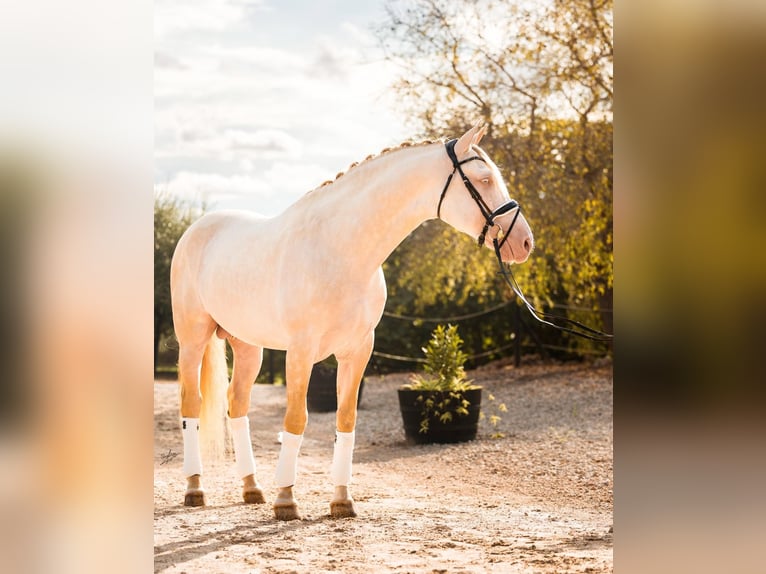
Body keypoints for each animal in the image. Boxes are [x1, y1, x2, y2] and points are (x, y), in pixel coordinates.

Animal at [170, 123, 534, 520]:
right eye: (484, 179)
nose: (524, 242)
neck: (342, 249)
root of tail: (196, 230)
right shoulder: (301, 351)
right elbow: (296, 419)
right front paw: (286, 499)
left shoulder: (358, 350)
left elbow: (345, 419)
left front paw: (341, 500)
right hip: (193, 339)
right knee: (191, 404)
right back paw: (195, 489)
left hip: (249, 346)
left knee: (237, 405)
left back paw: (252, 488)